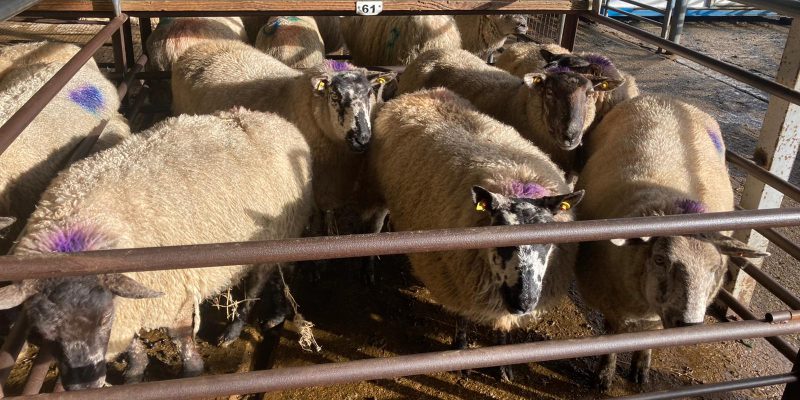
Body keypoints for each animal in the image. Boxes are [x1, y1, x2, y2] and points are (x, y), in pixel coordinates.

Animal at [0, 108, 313, 391]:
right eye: (44, 331)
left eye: (103, 320)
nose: (83, 386)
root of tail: (274, 119)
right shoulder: (130, 301)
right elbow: (133, 343)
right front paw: (135, 371)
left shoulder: (174, 289)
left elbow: (179, 336)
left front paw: (191, 370)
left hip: (276, 235)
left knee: (258, 285)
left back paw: (238, 328)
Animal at [370, 88, 584, 381]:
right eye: (499, 237)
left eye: (548, 240)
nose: (525, 302)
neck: (514, 179)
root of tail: (421, 93)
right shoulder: (456, 279)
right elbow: (462, 317)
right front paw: (461, 351)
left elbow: (503, 326)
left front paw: (503, 364)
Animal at [574, 95, 767, 391]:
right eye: (660, 259)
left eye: (715, 269)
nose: (688, 325)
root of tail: (666, 99)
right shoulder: (611, 302)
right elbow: (613, 335)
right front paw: (604, 375)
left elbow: (650, 338)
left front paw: (641, 369)